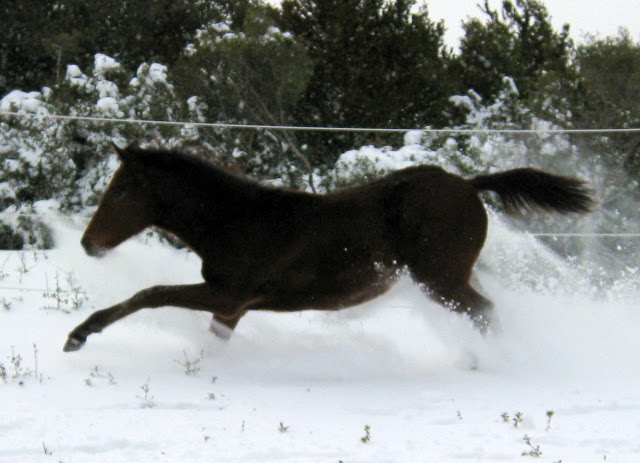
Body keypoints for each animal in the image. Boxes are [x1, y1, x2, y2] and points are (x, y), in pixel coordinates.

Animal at [62, 145, 592, 352]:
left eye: (121, 190)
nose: (88, 244)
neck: (238, 220)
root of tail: (469, 184)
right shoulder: (232, 308)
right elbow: (213, 339)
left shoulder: (230, 294)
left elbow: (149, 293)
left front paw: (79, 335)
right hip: (452, 276)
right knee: (484, 311)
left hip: (438, 279)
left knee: (485, 313)